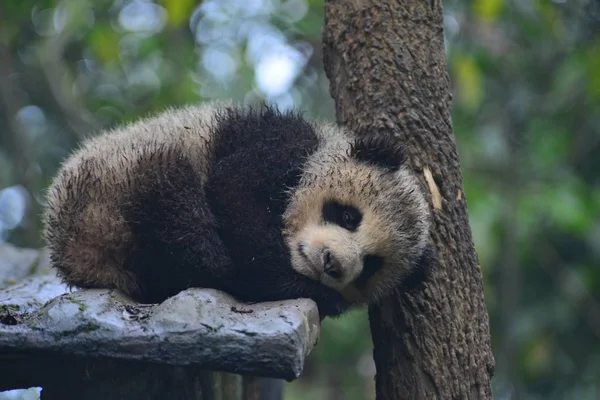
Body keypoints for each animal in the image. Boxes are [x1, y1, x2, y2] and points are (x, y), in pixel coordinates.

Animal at [44, 104, 434, 318]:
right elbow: (235, 194)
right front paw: (298, 285)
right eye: (349, 217)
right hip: (113, 182)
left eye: (371, 266)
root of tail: (75, 254)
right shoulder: (277, 141)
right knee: (174, 200)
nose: (331, 264)